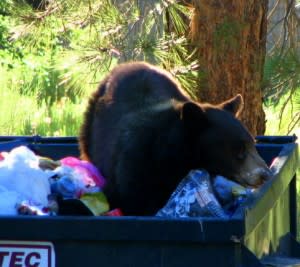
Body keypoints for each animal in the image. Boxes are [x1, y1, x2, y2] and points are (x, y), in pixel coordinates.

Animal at [78, 61, 270, 217]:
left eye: (252, 144)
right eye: (239, 150)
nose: (265, 174)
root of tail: (127, 64)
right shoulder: (134, 168)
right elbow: (134, 201)